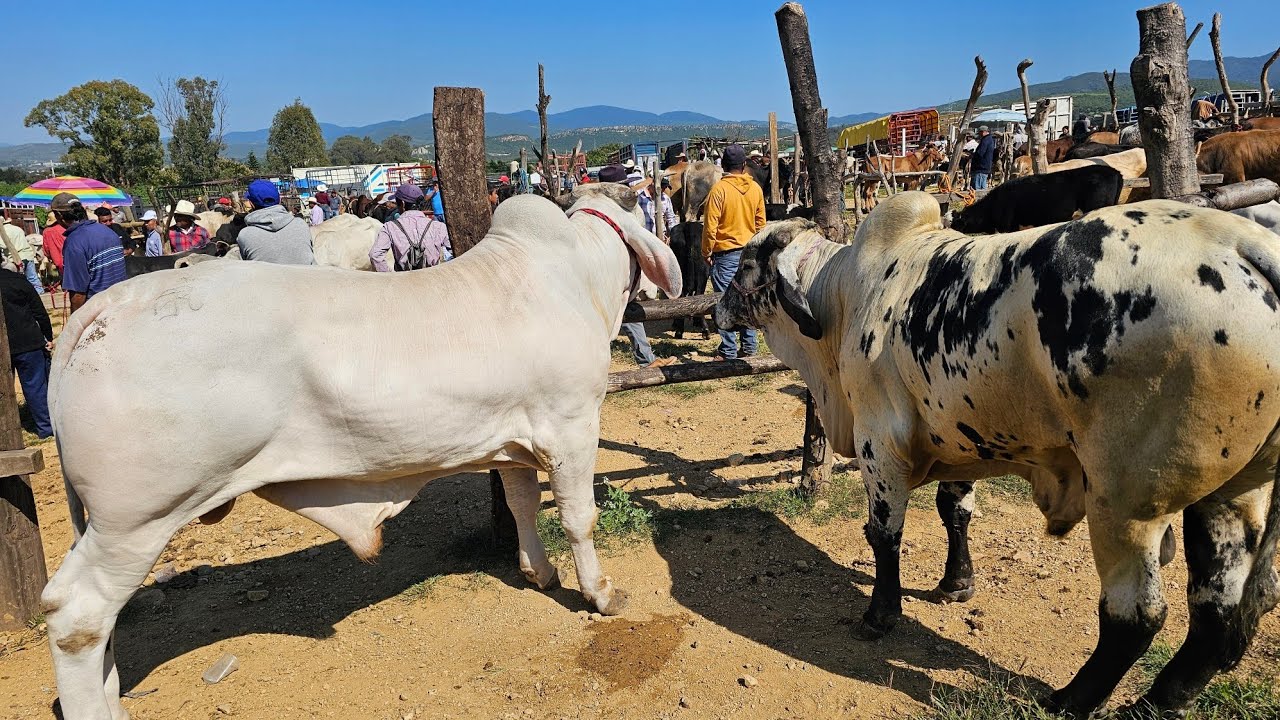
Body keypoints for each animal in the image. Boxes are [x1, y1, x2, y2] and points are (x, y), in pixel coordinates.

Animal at [41, 183, 680, 720]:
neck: (577, 276)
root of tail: (101, 308)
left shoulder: (513, 446)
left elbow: (524, 505)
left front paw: (539, 573)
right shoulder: (571, 426)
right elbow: (578, 517)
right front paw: (600, 593)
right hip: (138, 518)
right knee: (76, 615)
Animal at [714, 192, 1280, 719]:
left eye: (746, 263)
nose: (716, 307)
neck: (844, 298)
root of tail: (1242, 242)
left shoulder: (880, 444)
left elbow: (883, 535)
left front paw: (879, 615)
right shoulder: (959, 440)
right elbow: (955, 511)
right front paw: (956, 583)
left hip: (1127, 501)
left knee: (1136, 616)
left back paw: (1070, 699)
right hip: (1234, 491)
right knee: (1215, 613)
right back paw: (1154, 703)